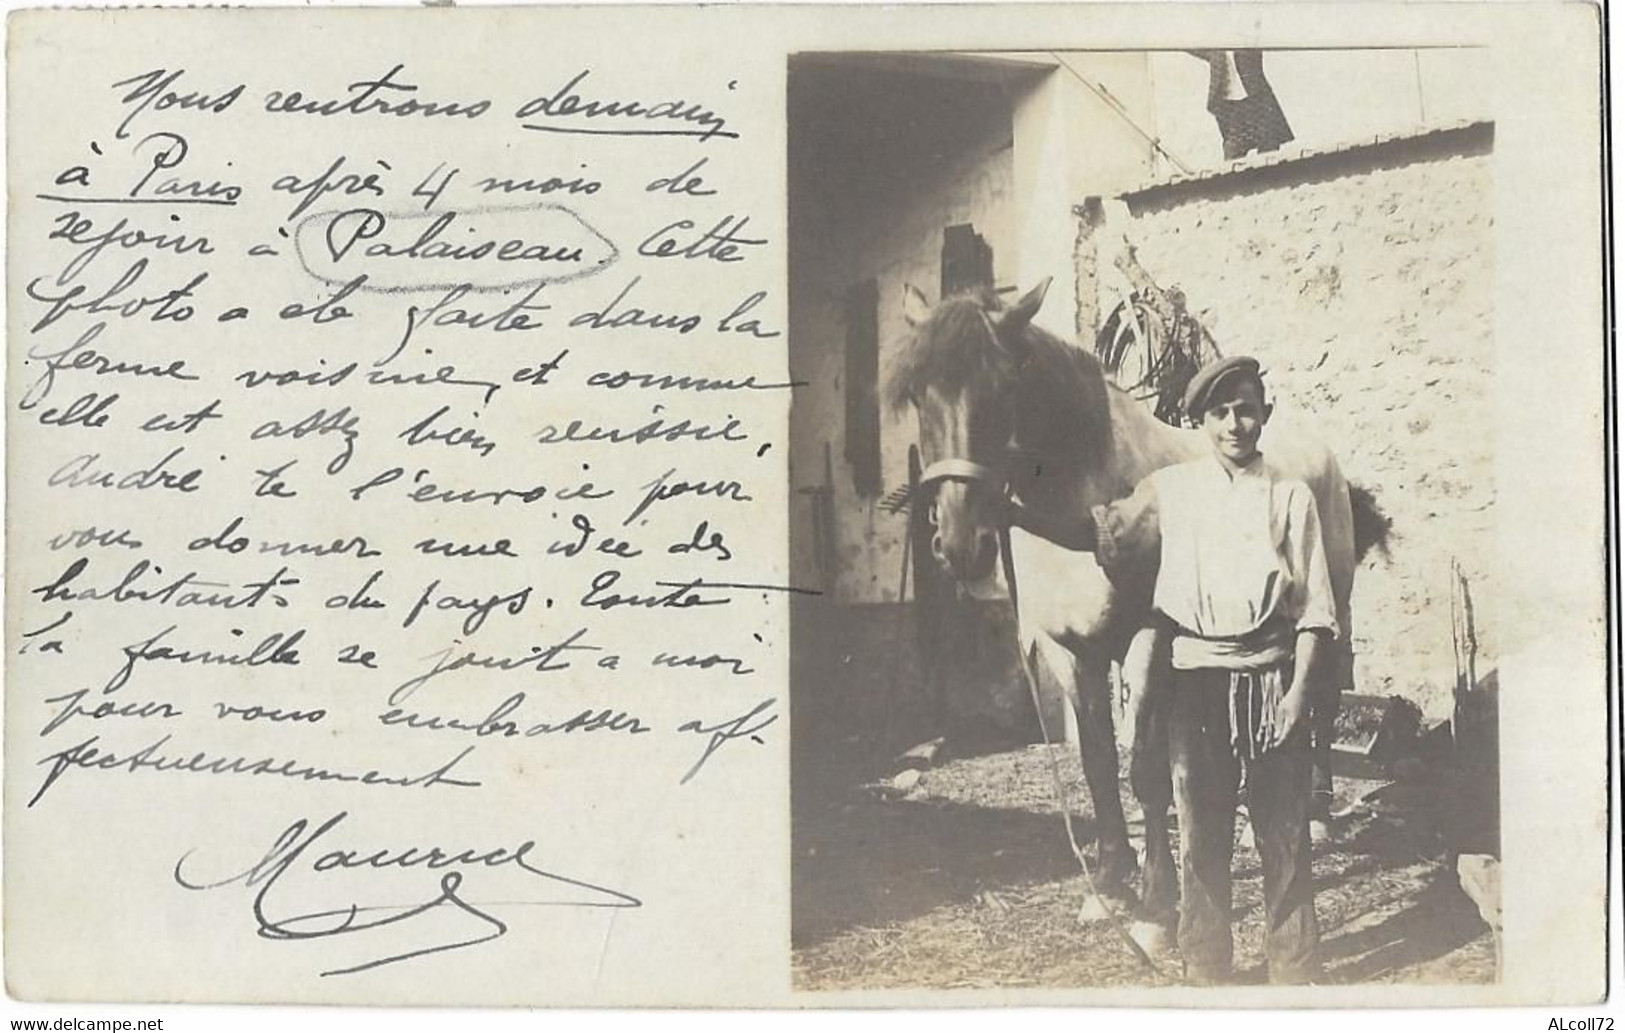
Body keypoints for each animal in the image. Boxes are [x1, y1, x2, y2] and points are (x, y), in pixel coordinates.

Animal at [884, 277, 1365, 942]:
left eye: (1003, 388)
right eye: (917, 395)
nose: (960, 545)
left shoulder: (1147, 642)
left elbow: (1144, 768)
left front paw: (1156, 905)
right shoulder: (1068, 651)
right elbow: (1097, 761)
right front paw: (1109, 885)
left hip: (1332, 606)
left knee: (1317, 702)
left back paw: (1316, 814)